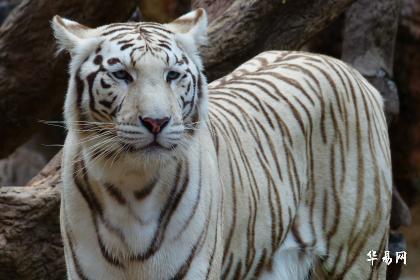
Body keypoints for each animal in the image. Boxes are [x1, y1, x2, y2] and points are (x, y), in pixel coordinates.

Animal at [53, 7, 394, 278]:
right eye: (122, 75)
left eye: (172, 75)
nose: (156, 122)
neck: (132, 186)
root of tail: (342, 66)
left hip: (359, 253)